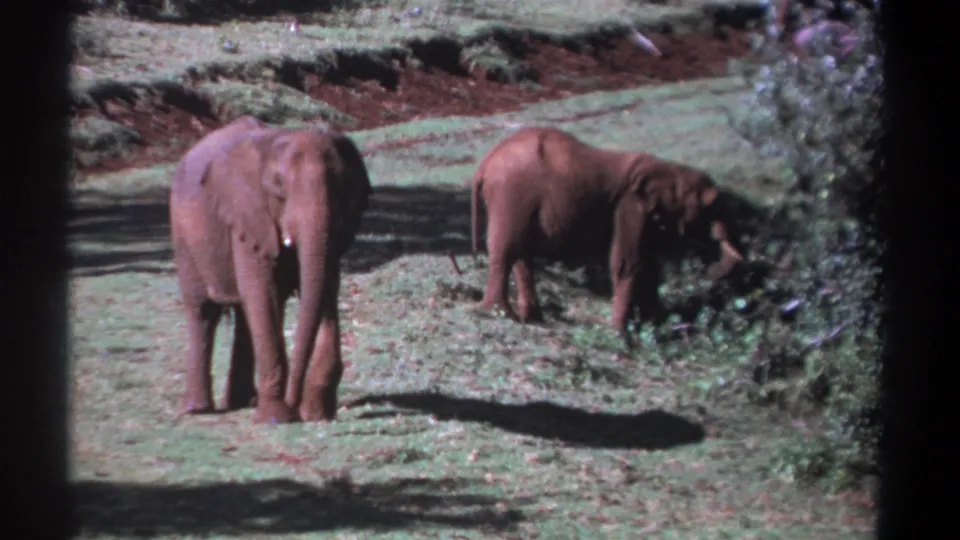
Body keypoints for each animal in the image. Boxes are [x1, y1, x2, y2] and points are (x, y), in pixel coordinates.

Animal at [169, 119, 373, 424]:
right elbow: (263, 294)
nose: (295, 404)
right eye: (278, 188)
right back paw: (198, 410)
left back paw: (243, 401)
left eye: (342, 185)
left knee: (243, 315)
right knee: (203, 311)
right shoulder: (247, 215)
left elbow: (326, 288)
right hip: (184, 238)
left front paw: (316, 413)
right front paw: (277, 418)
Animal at [469, 126, 744, 346]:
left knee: (520, 255)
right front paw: (622, 333)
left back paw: (533, 319)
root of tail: (486, 163)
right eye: (711, 205)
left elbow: (649, 266)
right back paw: (499, 313)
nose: (714, 271)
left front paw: (658, 325)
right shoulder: (631, 206)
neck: (670, 170)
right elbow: (628, 263)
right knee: (506, 251)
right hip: (512, 193)